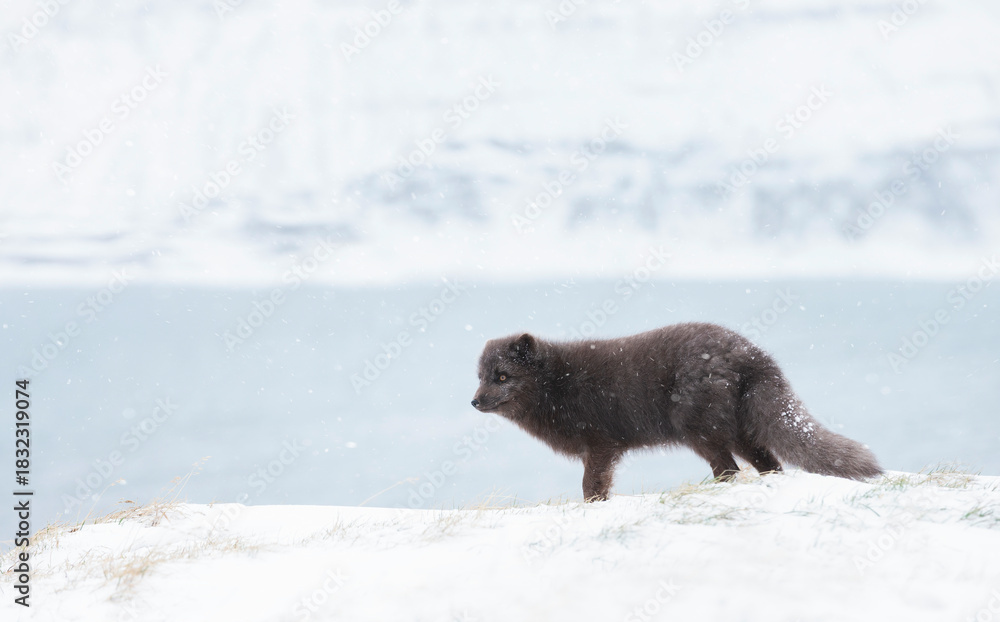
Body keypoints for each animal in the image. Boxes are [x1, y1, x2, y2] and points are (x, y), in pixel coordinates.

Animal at [471, 322, 882, 501]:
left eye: (502, 376)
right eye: (480, 377)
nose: (474, 402)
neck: (558, 384)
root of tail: (753, 354)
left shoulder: (600, 445)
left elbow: (591, 487)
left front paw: (592, 510)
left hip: (700, 432)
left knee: (730, 470)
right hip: (737, 431)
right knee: (769, 464)